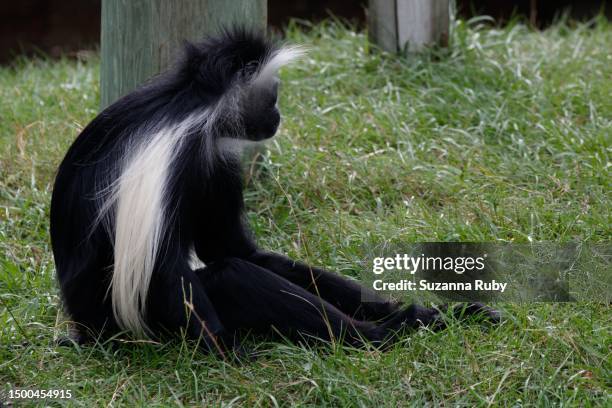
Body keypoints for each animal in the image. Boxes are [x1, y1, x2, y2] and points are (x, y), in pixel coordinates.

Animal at [49, 29, 498, 354]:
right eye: (272, 93)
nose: (278, 115)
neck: (198, 108)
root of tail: (87, 328)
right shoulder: (170, 155)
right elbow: (163, 271)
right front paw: (227, 350)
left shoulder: (218, 158)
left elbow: (230, 246)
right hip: (139, 319)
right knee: (229, 276)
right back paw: (379, 334)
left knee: (247, 265)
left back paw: (416, 315)